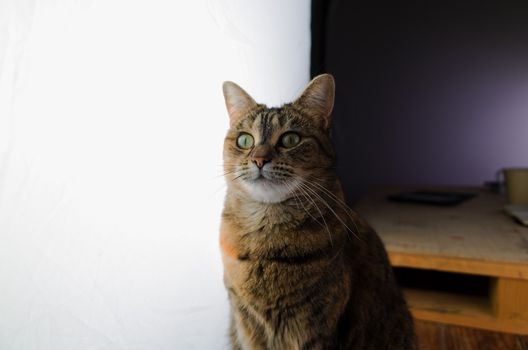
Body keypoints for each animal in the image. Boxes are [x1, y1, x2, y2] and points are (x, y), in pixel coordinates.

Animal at [220, 74, 416, 350]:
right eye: (245, 140)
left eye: (290, 139)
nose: (259, 159)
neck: (264, 244)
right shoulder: (246, 323)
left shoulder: (314, 327)